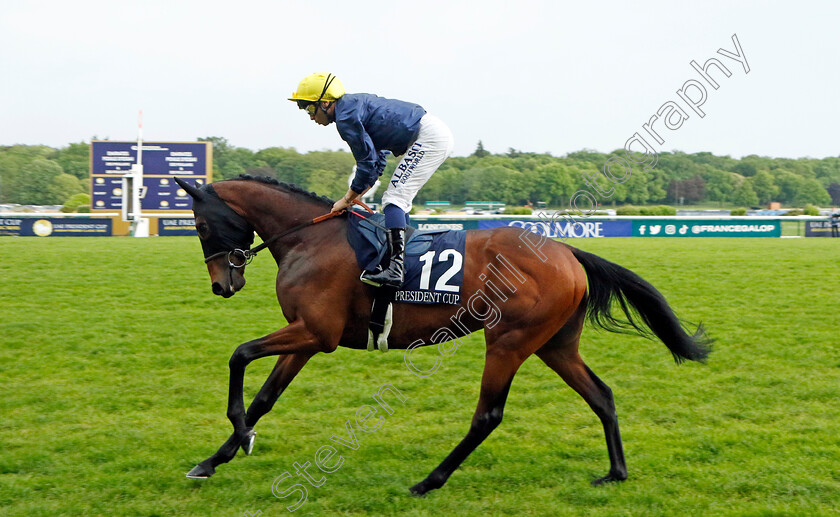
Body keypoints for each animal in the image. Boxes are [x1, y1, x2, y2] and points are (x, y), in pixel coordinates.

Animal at [176, 175, 708, 494]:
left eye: (198, 224)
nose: (222, 284)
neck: (310, 239)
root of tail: (567, 251)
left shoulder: (314, 333)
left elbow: (239, 355)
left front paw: (240, 435)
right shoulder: (305, 336)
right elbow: (265, 396)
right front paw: (213, 459)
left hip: (509, 341)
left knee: (488, 415)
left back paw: (429, 481)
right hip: (554, 345)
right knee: (601, 395)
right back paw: (616, 472)